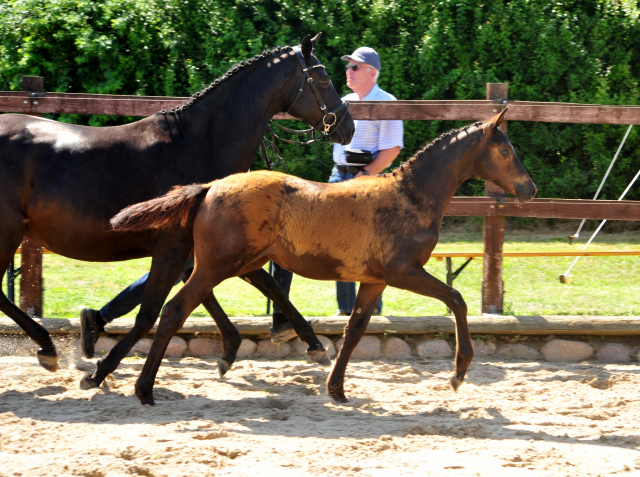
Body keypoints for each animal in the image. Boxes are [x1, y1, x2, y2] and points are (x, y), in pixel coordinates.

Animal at [111, 109, 536, 406]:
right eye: (505, 149)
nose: (529, 189)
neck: (411, 198)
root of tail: (210, 187)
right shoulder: (403, 271)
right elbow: (457, 300)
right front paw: (459, 372)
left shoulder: (374, 280)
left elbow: (355, 330)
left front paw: (336, 389)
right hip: (217, 265)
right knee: (173, 311)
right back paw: (144, 390)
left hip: (229, 264)